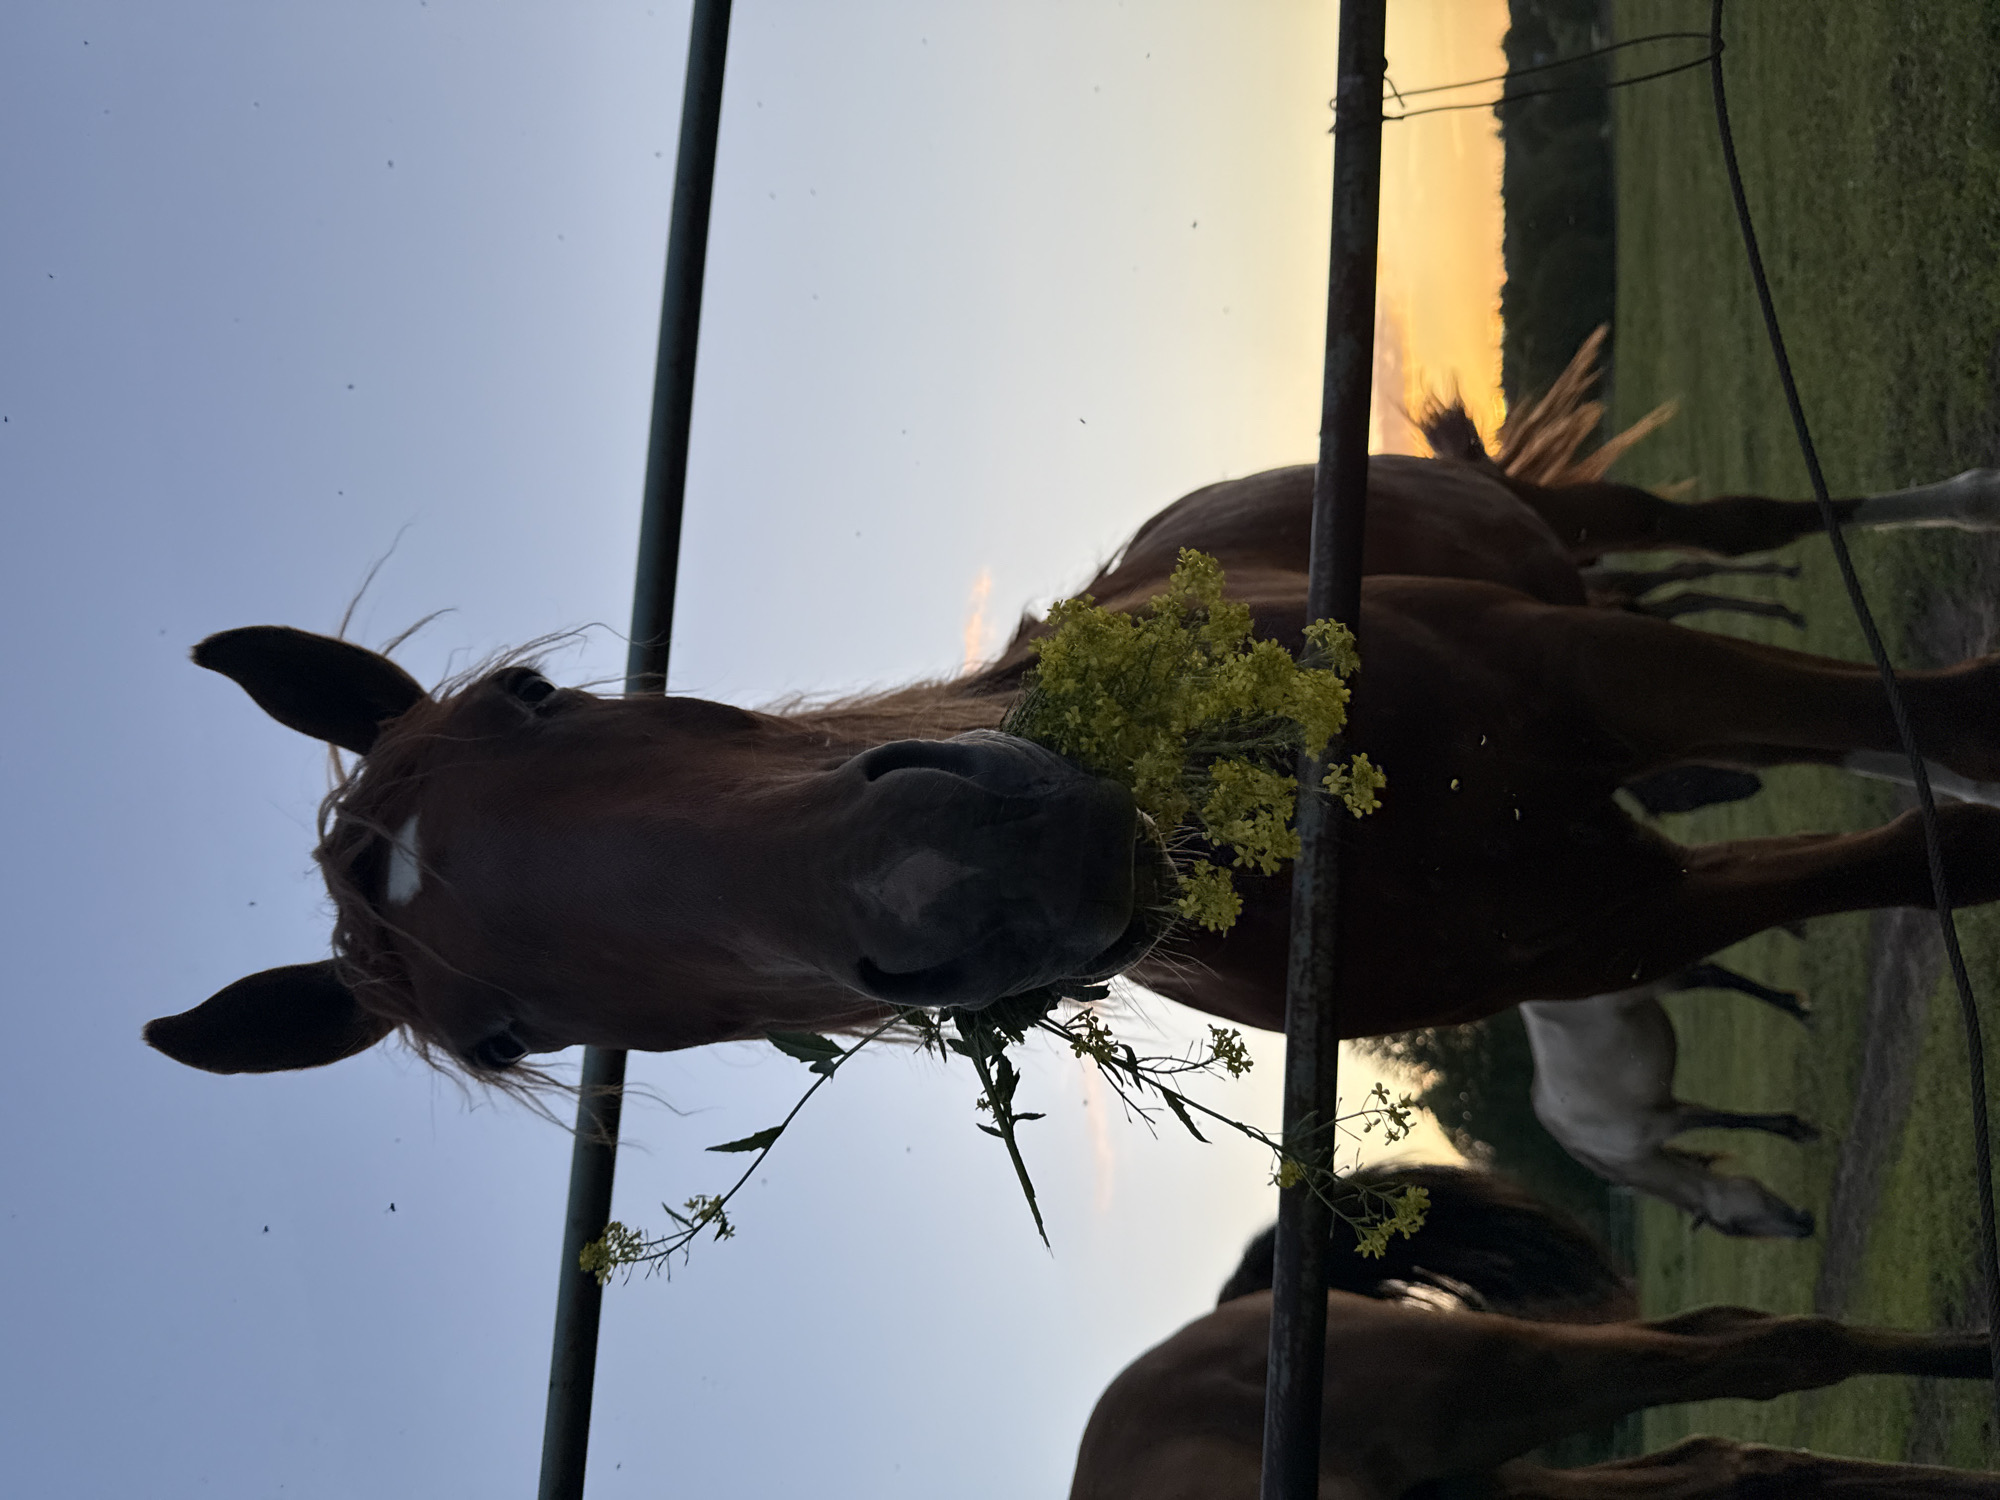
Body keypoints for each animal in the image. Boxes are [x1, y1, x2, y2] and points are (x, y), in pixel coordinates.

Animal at [143, 337, 2000, 1077]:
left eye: (535, 699)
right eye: (508, 1036)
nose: (960, 880)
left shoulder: (1604, 682)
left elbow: (1948, 734)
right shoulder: (1625, 918)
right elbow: (1928, 851)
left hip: (1602, 552)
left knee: (1760, 531)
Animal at [1520, 965, 1819, 1238]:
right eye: (1736, 1227)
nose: (1805, 1227)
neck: (1605, 1151)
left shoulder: (1666, 1121)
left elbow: (1725, 1120)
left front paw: (1796, 1129)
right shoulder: (1670, 1112)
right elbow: (1724, 1119)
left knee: (1711, 975)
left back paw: (1797, 1009)